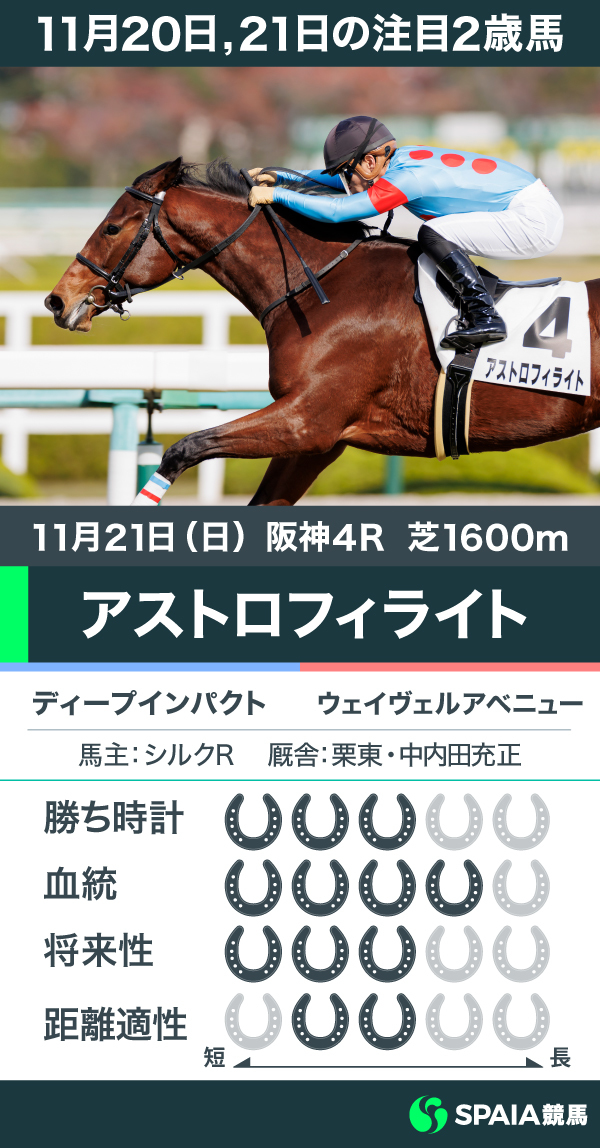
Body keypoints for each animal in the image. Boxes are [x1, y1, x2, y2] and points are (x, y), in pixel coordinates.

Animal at [46, 157, 600, 506]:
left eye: (113, 227)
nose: (58, 300)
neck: (322, 285)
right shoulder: (316, 439)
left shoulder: (309, 421)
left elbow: (184, 448)